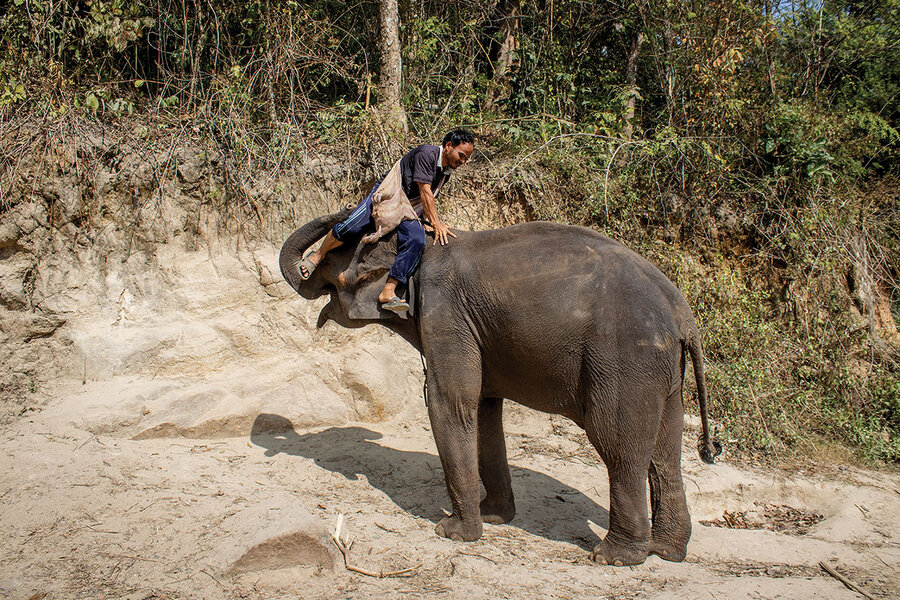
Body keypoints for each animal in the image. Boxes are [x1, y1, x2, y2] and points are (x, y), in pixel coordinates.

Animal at [278, 207, 720, 568]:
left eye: (330, 259)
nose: (351, 212)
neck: (422, 245)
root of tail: (684, 316)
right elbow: (484, 410)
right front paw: (493, 517)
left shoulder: (445, 313)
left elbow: (450, 404)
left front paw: (454, 533)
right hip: (664, 373)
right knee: (664, 453)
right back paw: (667, 551)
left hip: (626, 362)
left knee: (619, 447)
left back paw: (614, 557)